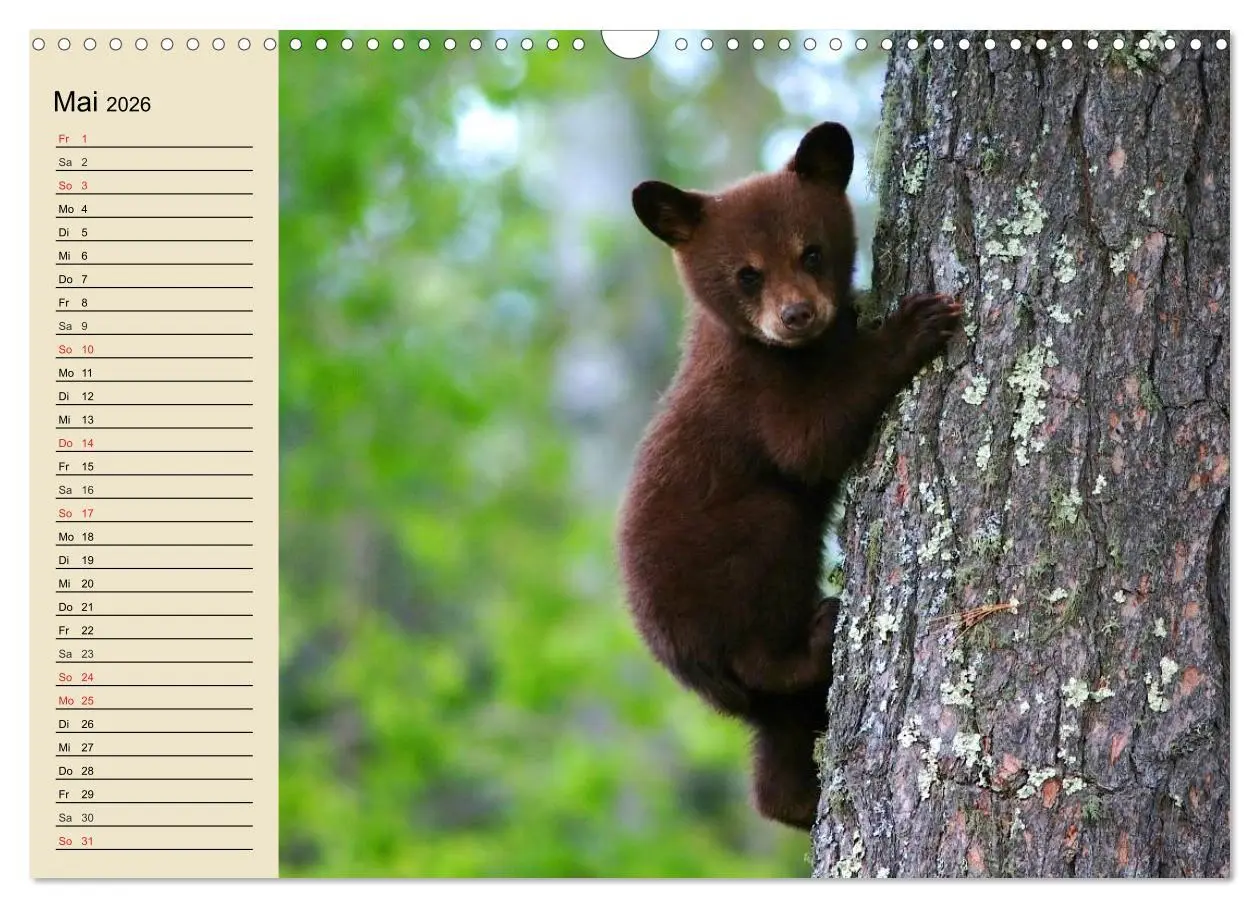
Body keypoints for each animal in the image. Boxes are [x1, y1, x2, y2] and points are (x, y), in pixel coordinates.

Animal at [615, 121, 962, 830]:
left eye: (812, 252)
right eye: (747, 274)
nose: (797, 315)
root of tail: (685, 667)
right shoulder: (754, 391)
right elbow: (810, 441)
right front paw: (914, 324)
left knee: (777, 746)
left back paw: (797, 801)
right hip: (728, 567)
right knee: (764, 617)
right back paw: (817, 634)